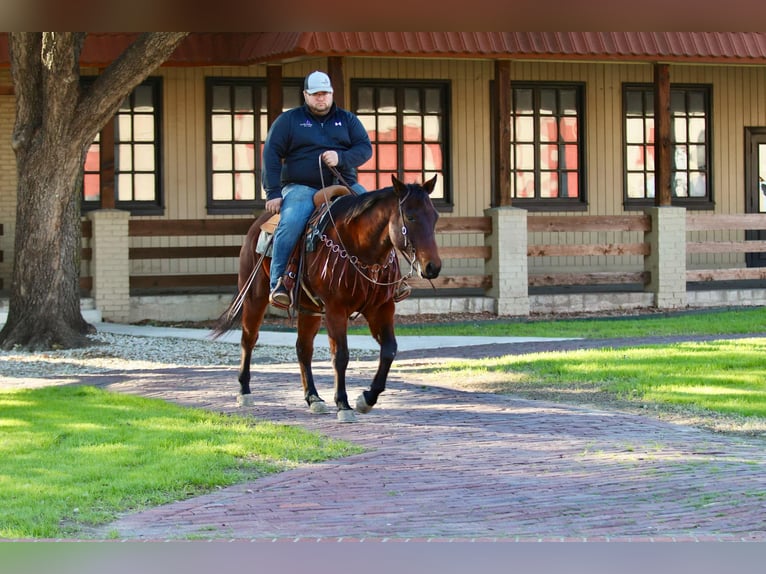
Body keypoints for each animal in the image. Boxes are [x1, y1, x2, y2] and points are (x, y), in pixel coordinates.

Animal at [213, 176, 440, 424]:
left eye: (435, 216)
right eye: (410, 216)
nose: (433, 267)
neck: (360, 247)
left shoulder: (381, 308)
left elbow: (389, 350)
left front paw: (366, 399)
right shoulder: (335, 310)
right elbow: (340, 355)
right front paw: (343, 405)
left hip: (309, 309)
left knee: (303, 348)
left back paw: (313, 398)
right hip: (255, 297)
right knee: (249, 339)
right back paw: (244, 392)